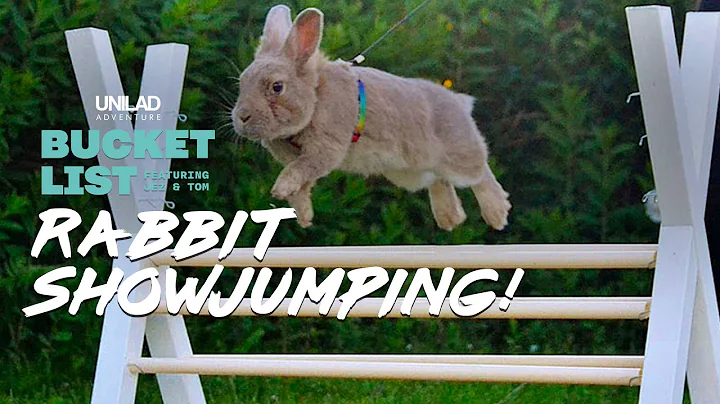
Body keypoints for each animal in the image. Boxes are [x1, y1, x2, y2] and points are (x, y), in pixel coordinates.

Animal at [232, 5, 511, 231]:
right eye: (242, 83)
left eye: (277, 87)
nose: (242, 117)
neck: (315, 98)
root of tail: (459, 102)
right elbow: (301, 188)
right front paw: (303, 216)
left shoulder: (325, 150)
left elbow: (299, 170)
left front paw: (280, 189)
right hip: (411, 173)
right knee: (439, 180)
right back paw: (450, 218)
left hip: (459, 156)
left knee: (481, 174)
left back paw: (497, 214)